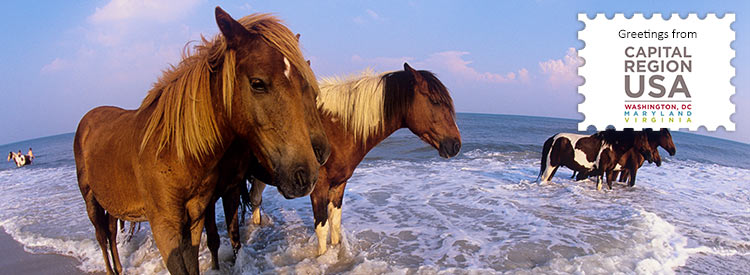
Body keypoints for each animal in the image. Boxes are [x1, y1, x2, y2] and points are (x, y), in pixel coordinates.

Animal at [74, 7, 328, 274]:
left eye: (305, 86)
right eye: (257, 83)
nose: (307, 173)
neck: (174, 153)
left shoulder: (196, 217)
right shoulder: (165, 228)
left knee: (111, 233)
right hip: (91, 200)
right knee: (102, 235)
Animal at [244, 63, 462, 256]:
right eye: (435, 101)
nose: (456, 145)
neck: (335, 128)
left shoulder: (338, 185)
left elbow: (335, 224)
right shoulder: (319, 187)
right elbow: (322, 229)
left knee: (255, 201)